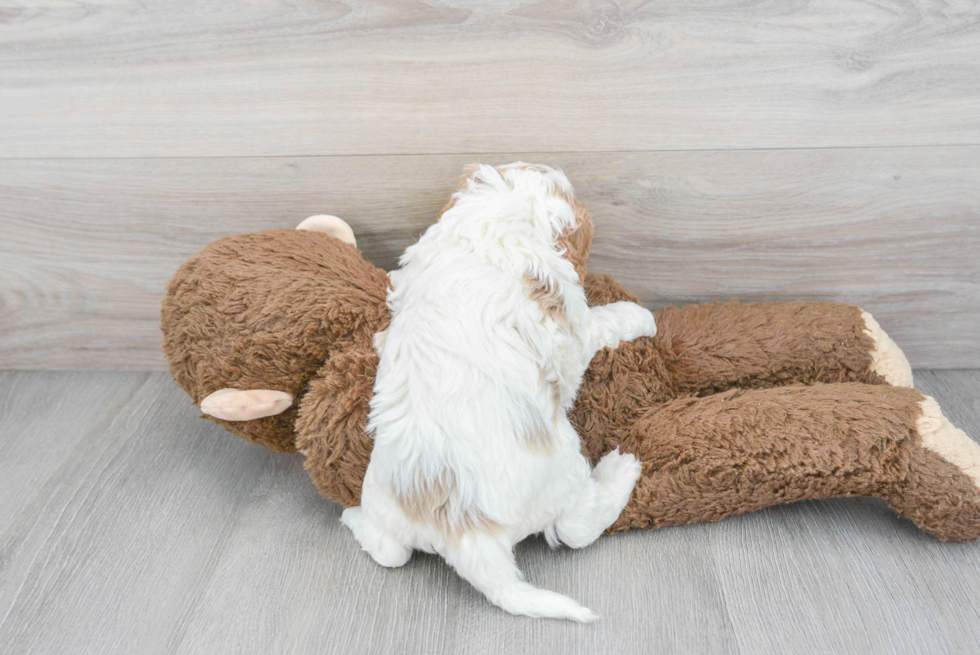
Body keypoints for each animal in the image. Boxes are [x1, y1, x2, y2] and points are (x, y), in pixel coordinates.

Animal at [342, 161, 660, 624]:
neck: (492, 221)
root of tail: (466, 535)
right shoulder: (574, 329)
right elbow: (603, 323)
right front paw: (640, 316)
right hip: (564, 471)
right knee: (577, 526)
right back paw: (622, 469)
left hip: (385, 508)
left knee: (389, 552)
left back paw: (352, 518)